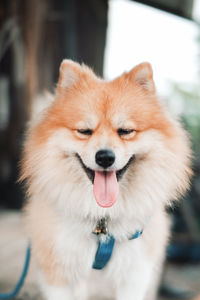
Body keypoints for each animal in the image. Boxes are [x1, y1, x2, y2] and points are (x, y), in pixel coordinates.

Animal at [20, 59, 192, 298]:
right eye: (85, 131)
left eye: (125, 131)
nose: (104, 157)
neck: (102, 222)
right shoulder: (58, 274)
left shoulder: (134, 276)